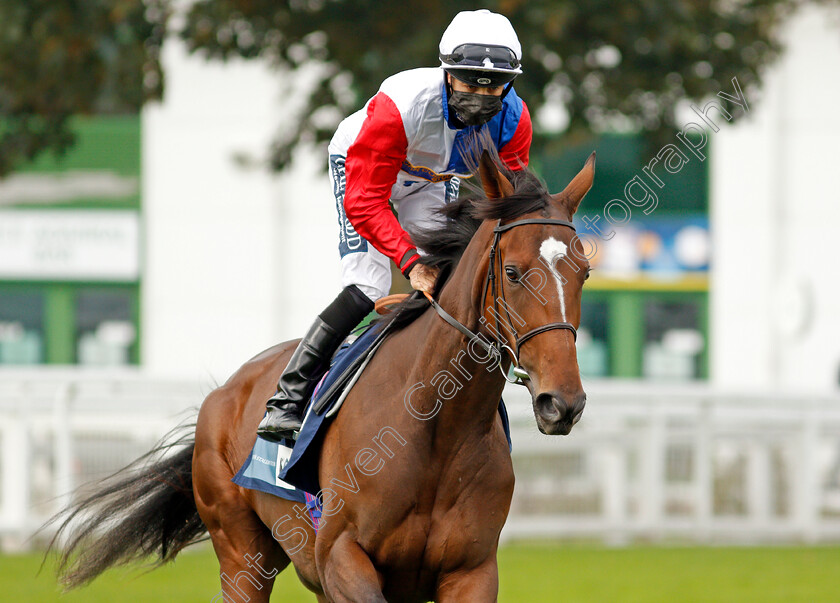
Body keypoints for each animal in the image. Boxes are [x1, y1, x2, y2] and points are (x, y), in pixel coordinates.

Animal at [49, 149, 592, 600]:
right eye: (514, 272)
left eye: (583, 272)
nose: (562, 403)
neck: (436, 427)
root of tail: (224, 393)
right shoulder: (341, 557)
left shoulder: (472, 571)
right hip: (242, 554)